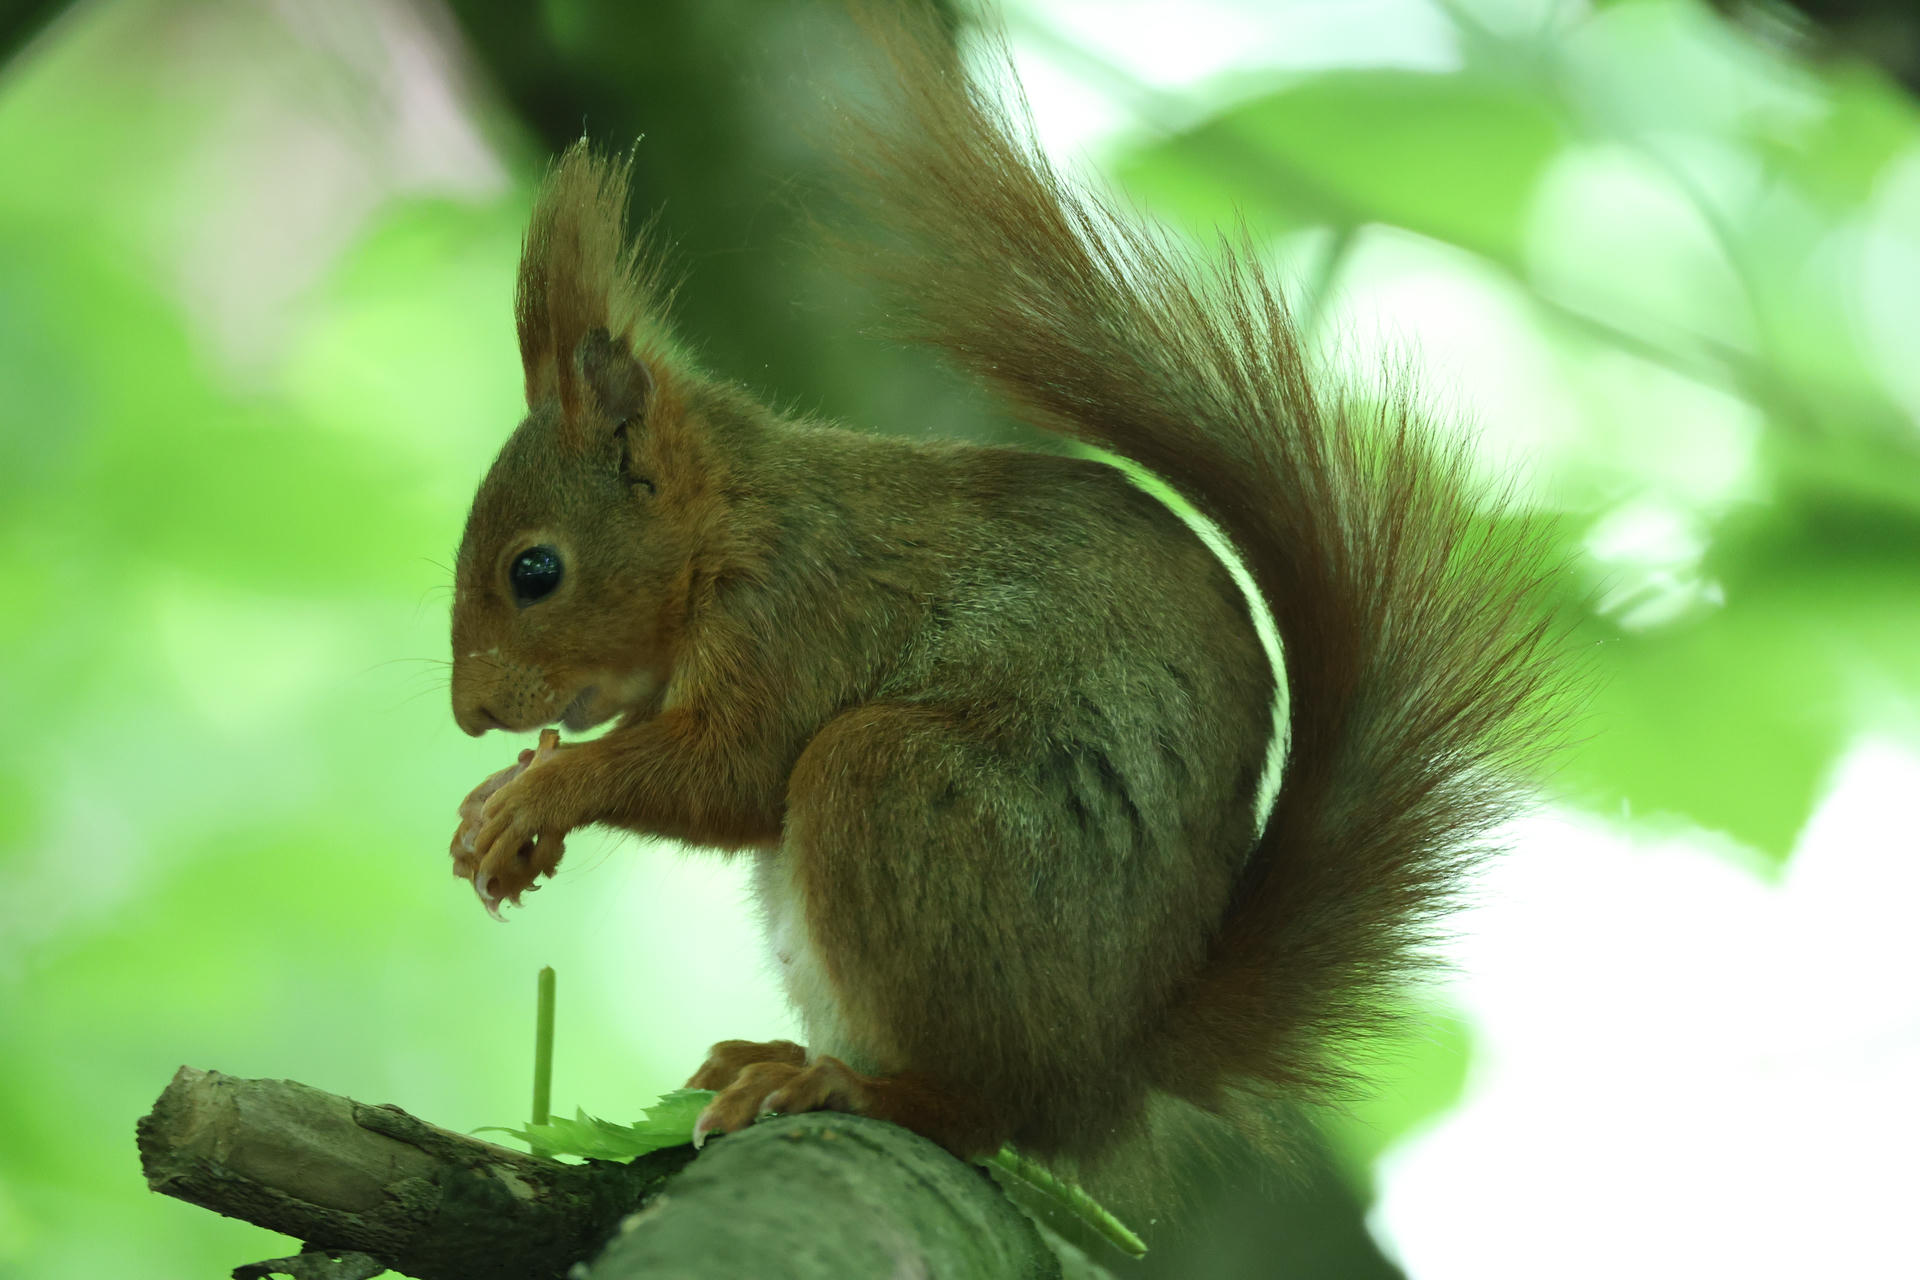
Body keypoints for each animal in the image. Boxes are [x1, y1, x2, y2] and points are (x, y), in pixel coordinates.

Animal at [447, 5, 1568, 1171]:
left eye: (534, 570)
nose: (471, 712)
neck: (729, 526)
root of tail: (1108, 1066)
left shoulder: (802, 611)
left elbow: (734, 771)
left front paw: (539, 791)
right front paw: (498, 808)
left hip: (898, 792)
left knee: (981, 1107)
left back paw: (849, 1084)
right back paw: (774, 1055)